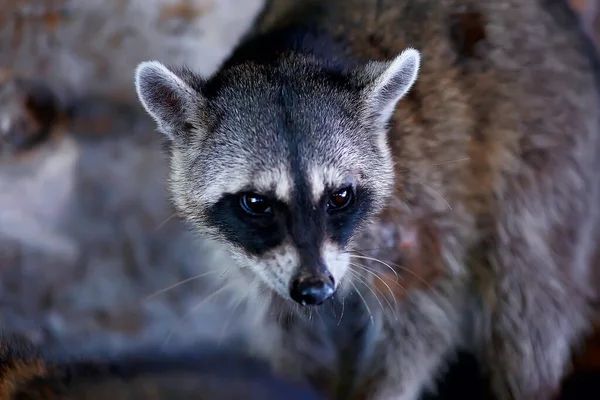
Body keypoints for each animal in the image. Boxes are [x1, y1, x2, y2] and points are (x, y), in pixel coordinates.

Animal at [132, 0, 600, 400]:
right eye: (256, 203)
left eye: (339, 196)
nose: (316, 288)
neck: (290, 54)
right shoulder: (258, 266)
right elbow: (291, 332)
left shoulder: (424, 206)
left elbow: (423, 318)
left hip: (549, 153)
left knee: (527, 291)